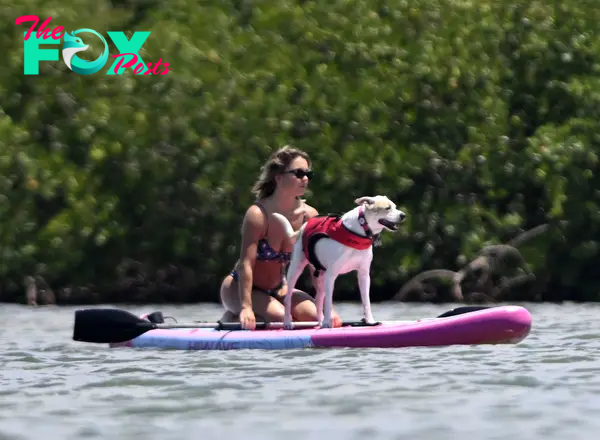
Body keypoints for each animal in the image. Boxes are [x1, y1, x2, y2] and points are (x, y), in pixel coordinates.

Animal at [274, 194, 406, 328]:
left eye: (395, 206)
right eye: (387, 208)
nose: (403, 215)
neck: (360, 230)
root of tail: (302, 227)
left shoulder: (363, 274)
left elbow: (366, 301)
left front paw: (370, 321)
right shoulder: (331, 274)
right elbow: (329, 302)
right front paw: (327, 323)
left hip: (321, 275)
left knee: (318, 299)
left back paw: (320, 322)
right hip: (296, 269)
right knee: (289, 297)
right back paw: (288, 323)